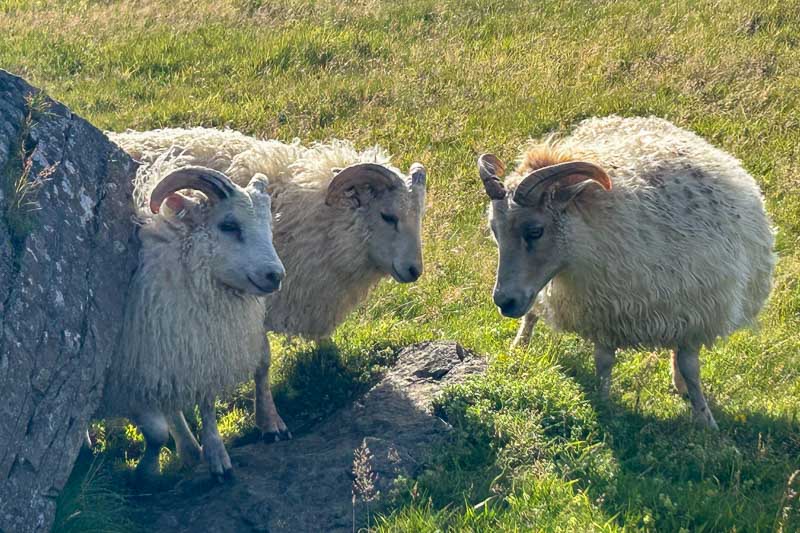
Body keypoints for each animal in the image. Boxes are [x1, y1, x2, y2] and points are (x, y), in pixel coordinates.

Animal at [100, 153, 285, 482]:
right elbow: (157, 432)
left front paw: (214, 455)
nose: (275, 275)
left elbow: (206, 405)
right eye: (228, 225)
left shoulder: (194, 350)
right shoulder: (130, 374)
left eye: (269, 226)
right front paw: (147, 473)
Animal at [108, 128, 426, 447]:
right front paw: (270, 422)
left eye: (419, 216)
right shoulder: (255, 302)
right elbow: (262, 362)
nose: (415, 271)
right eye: (388, 216)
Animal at [478, 115, 775, 429]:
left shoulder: (696, 310)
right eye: (494, 231)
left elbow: (690, 367)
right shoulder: (604, 311)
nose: (503, 301)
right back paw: (520, 345)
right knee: (532, 313)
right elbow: (604, 361)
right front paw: (603, 403)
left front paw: (705, 420)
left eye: (535, 231)